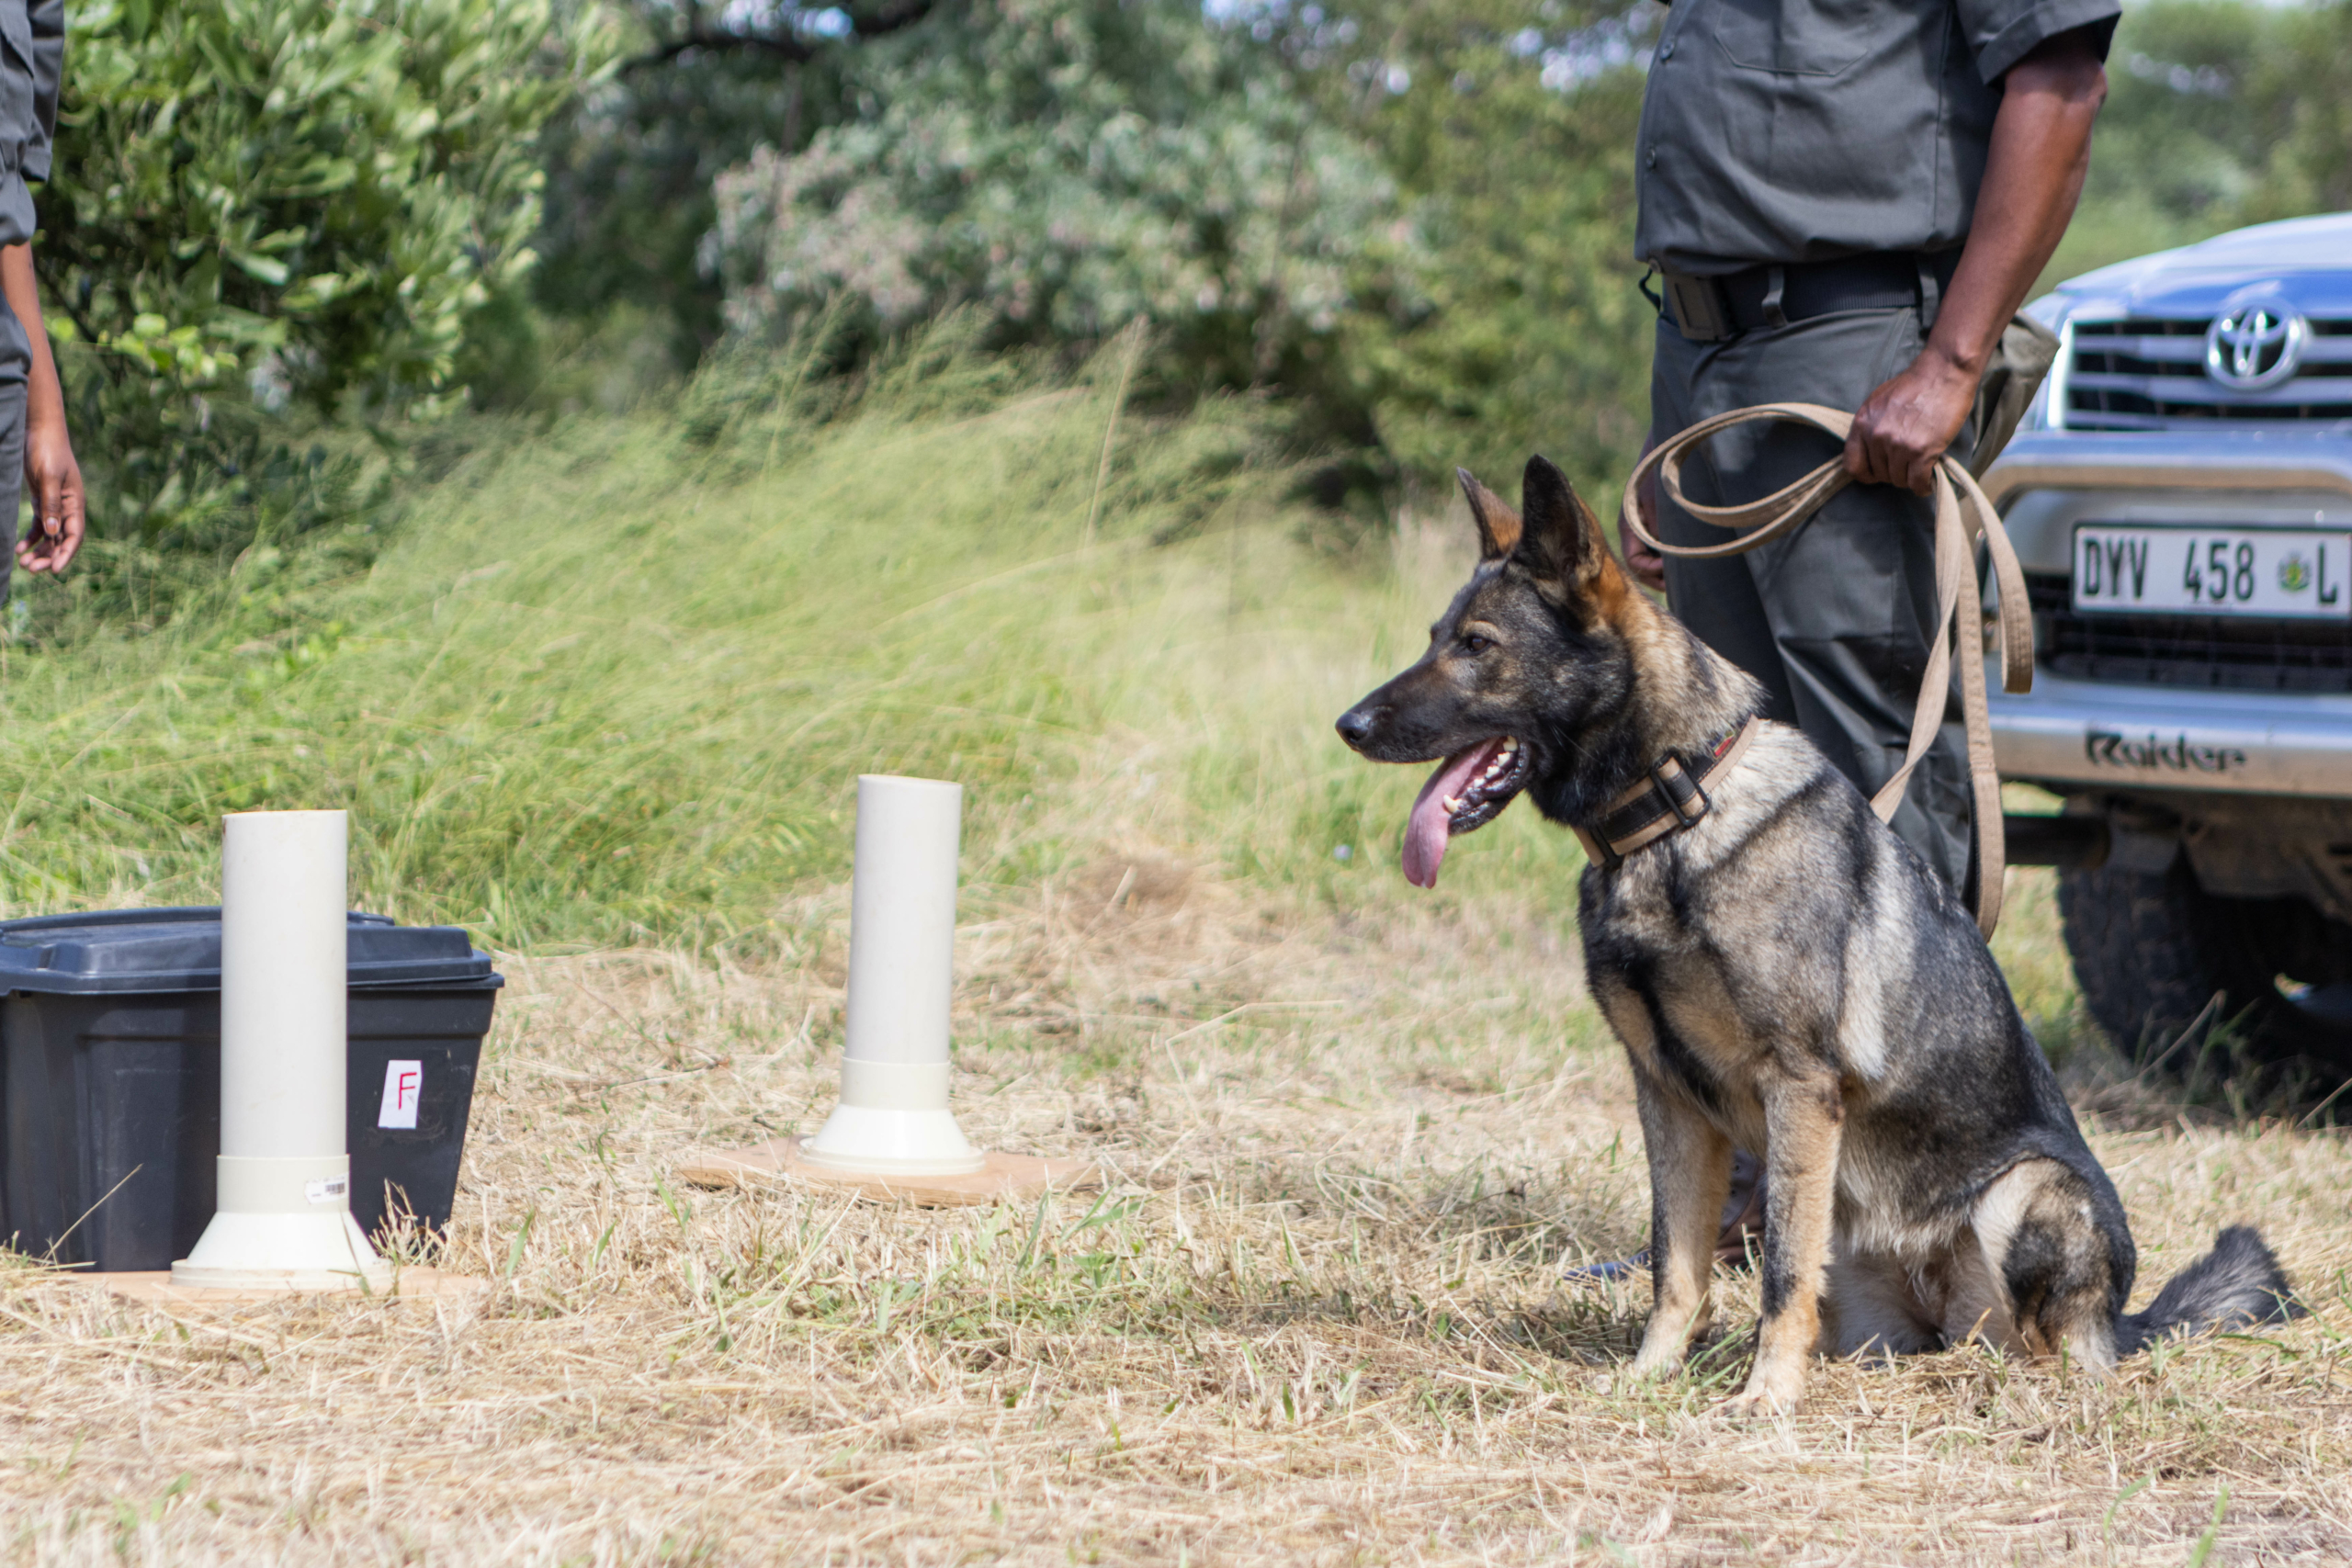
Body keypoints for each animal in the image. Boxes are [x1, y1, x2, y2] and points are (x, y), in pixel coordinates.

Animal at [1345, 460, 2295, 1419]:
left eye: (1477, 644)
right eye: (1437, 638)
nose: (1350, 725)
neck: (1677, 810)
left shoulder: (1798, 1088)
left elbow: (1780, 1274)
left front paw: (1765, 1398)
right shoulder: (1668, 1097)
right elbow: (1676, 1263)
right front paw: (1652, 1374)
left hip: (2025, 1193)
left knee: (2046, 1346)